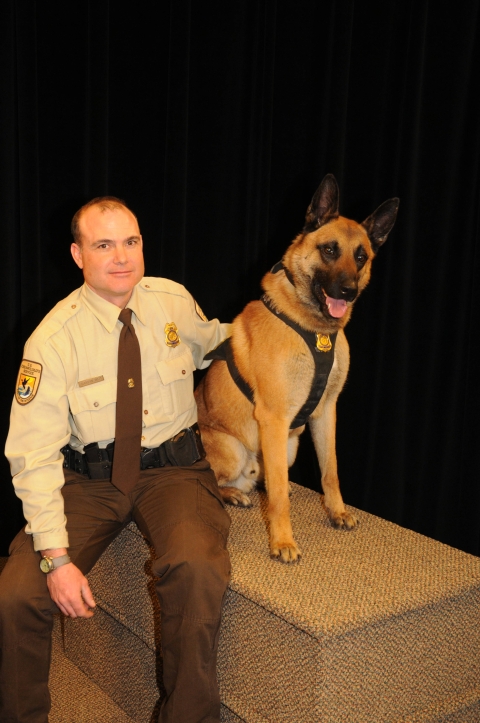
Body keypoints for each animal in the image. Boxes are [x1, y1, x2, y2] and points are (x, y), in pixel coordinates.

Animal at [193, 173, 400, 564]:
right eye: (330, 250)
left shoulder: (326, 411)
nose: (348, 291)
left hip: (288, 446)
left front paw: (337, 512)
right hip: (234, 449)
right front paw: (283, 542)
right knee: (219, 481)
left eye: (361, 256)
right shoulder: (274, 417)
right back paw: (234, 494)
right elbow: (277, 499)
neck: (315, 331)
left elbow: (330, 472)